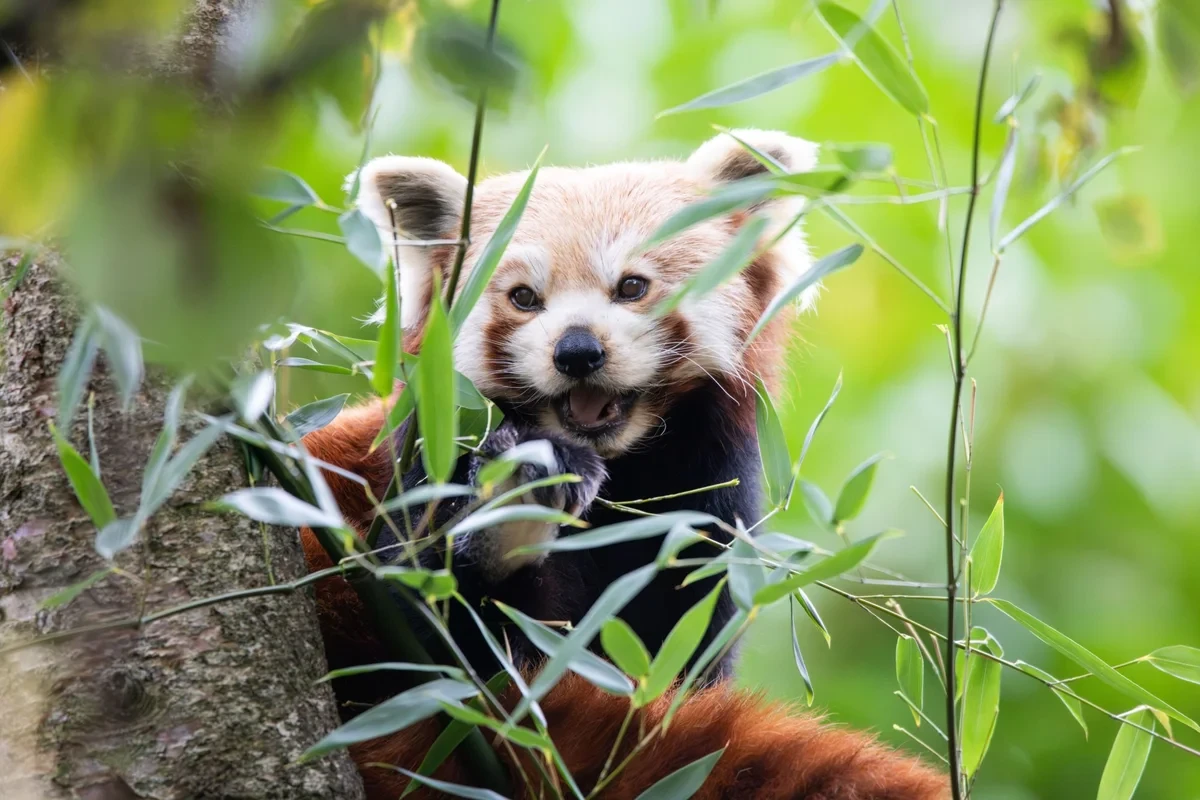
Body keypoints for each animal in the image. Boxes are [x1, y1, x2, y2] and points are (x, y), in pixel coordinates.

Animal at [300, 130, 947, 799]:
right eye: (524, 298)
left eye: (632, 286)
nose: (577, 350)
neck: (620, 475)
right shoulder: (425, 465)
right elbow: (421, 626)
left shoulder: (705, 512)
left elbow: (684, 660)